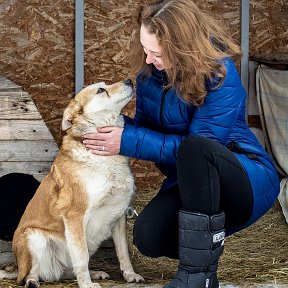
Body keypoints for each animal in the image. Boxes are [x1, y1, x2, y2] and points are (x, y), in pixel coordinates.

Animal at [0, 80, 143, 288]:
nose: (129, 81)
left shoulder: (119, 214)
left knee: (64, 271)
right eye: (101, 90)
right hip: (34, 237)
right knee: (30, 274)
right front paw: (86, 284)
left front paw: (130, 275)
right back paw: (33, 281)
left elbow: (123, 252)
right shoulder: (75, 215)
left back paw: (95, 272)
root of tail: (17, 267)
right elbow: (81, 257)